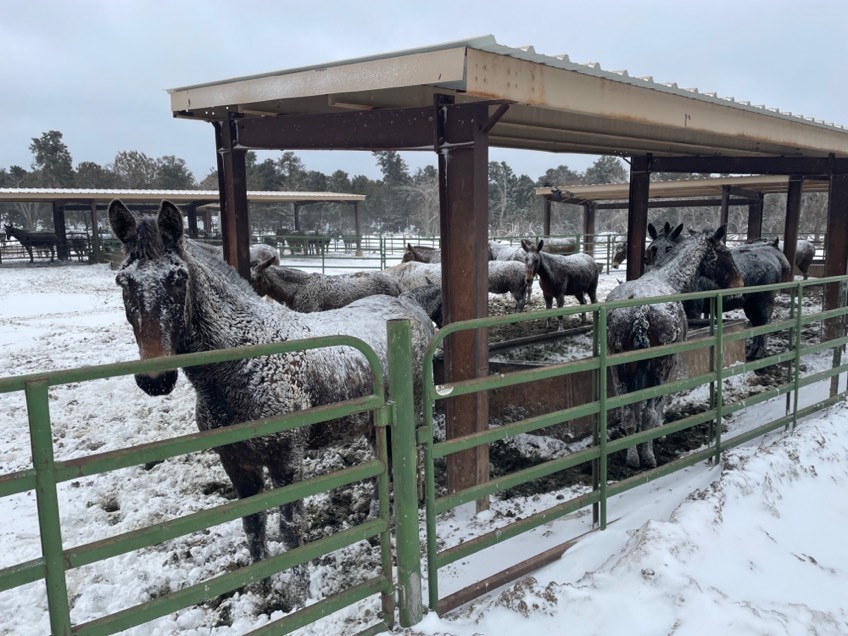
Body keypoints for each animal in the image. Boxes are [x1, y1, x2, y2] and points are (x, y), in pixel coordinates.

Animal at [604, 226, 744, 470]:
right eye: (725, 252)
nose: (739, 283)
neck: (670, 280)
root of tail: (640, 314)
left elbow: (636, 407)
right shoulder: (673, 360)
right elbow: (659, 404)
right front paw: (659, 433)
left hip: (619, 370)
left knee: (628, 413)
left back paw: (632, 457)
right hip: (659, 366)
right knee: (649, 412)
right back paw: (648, 456)